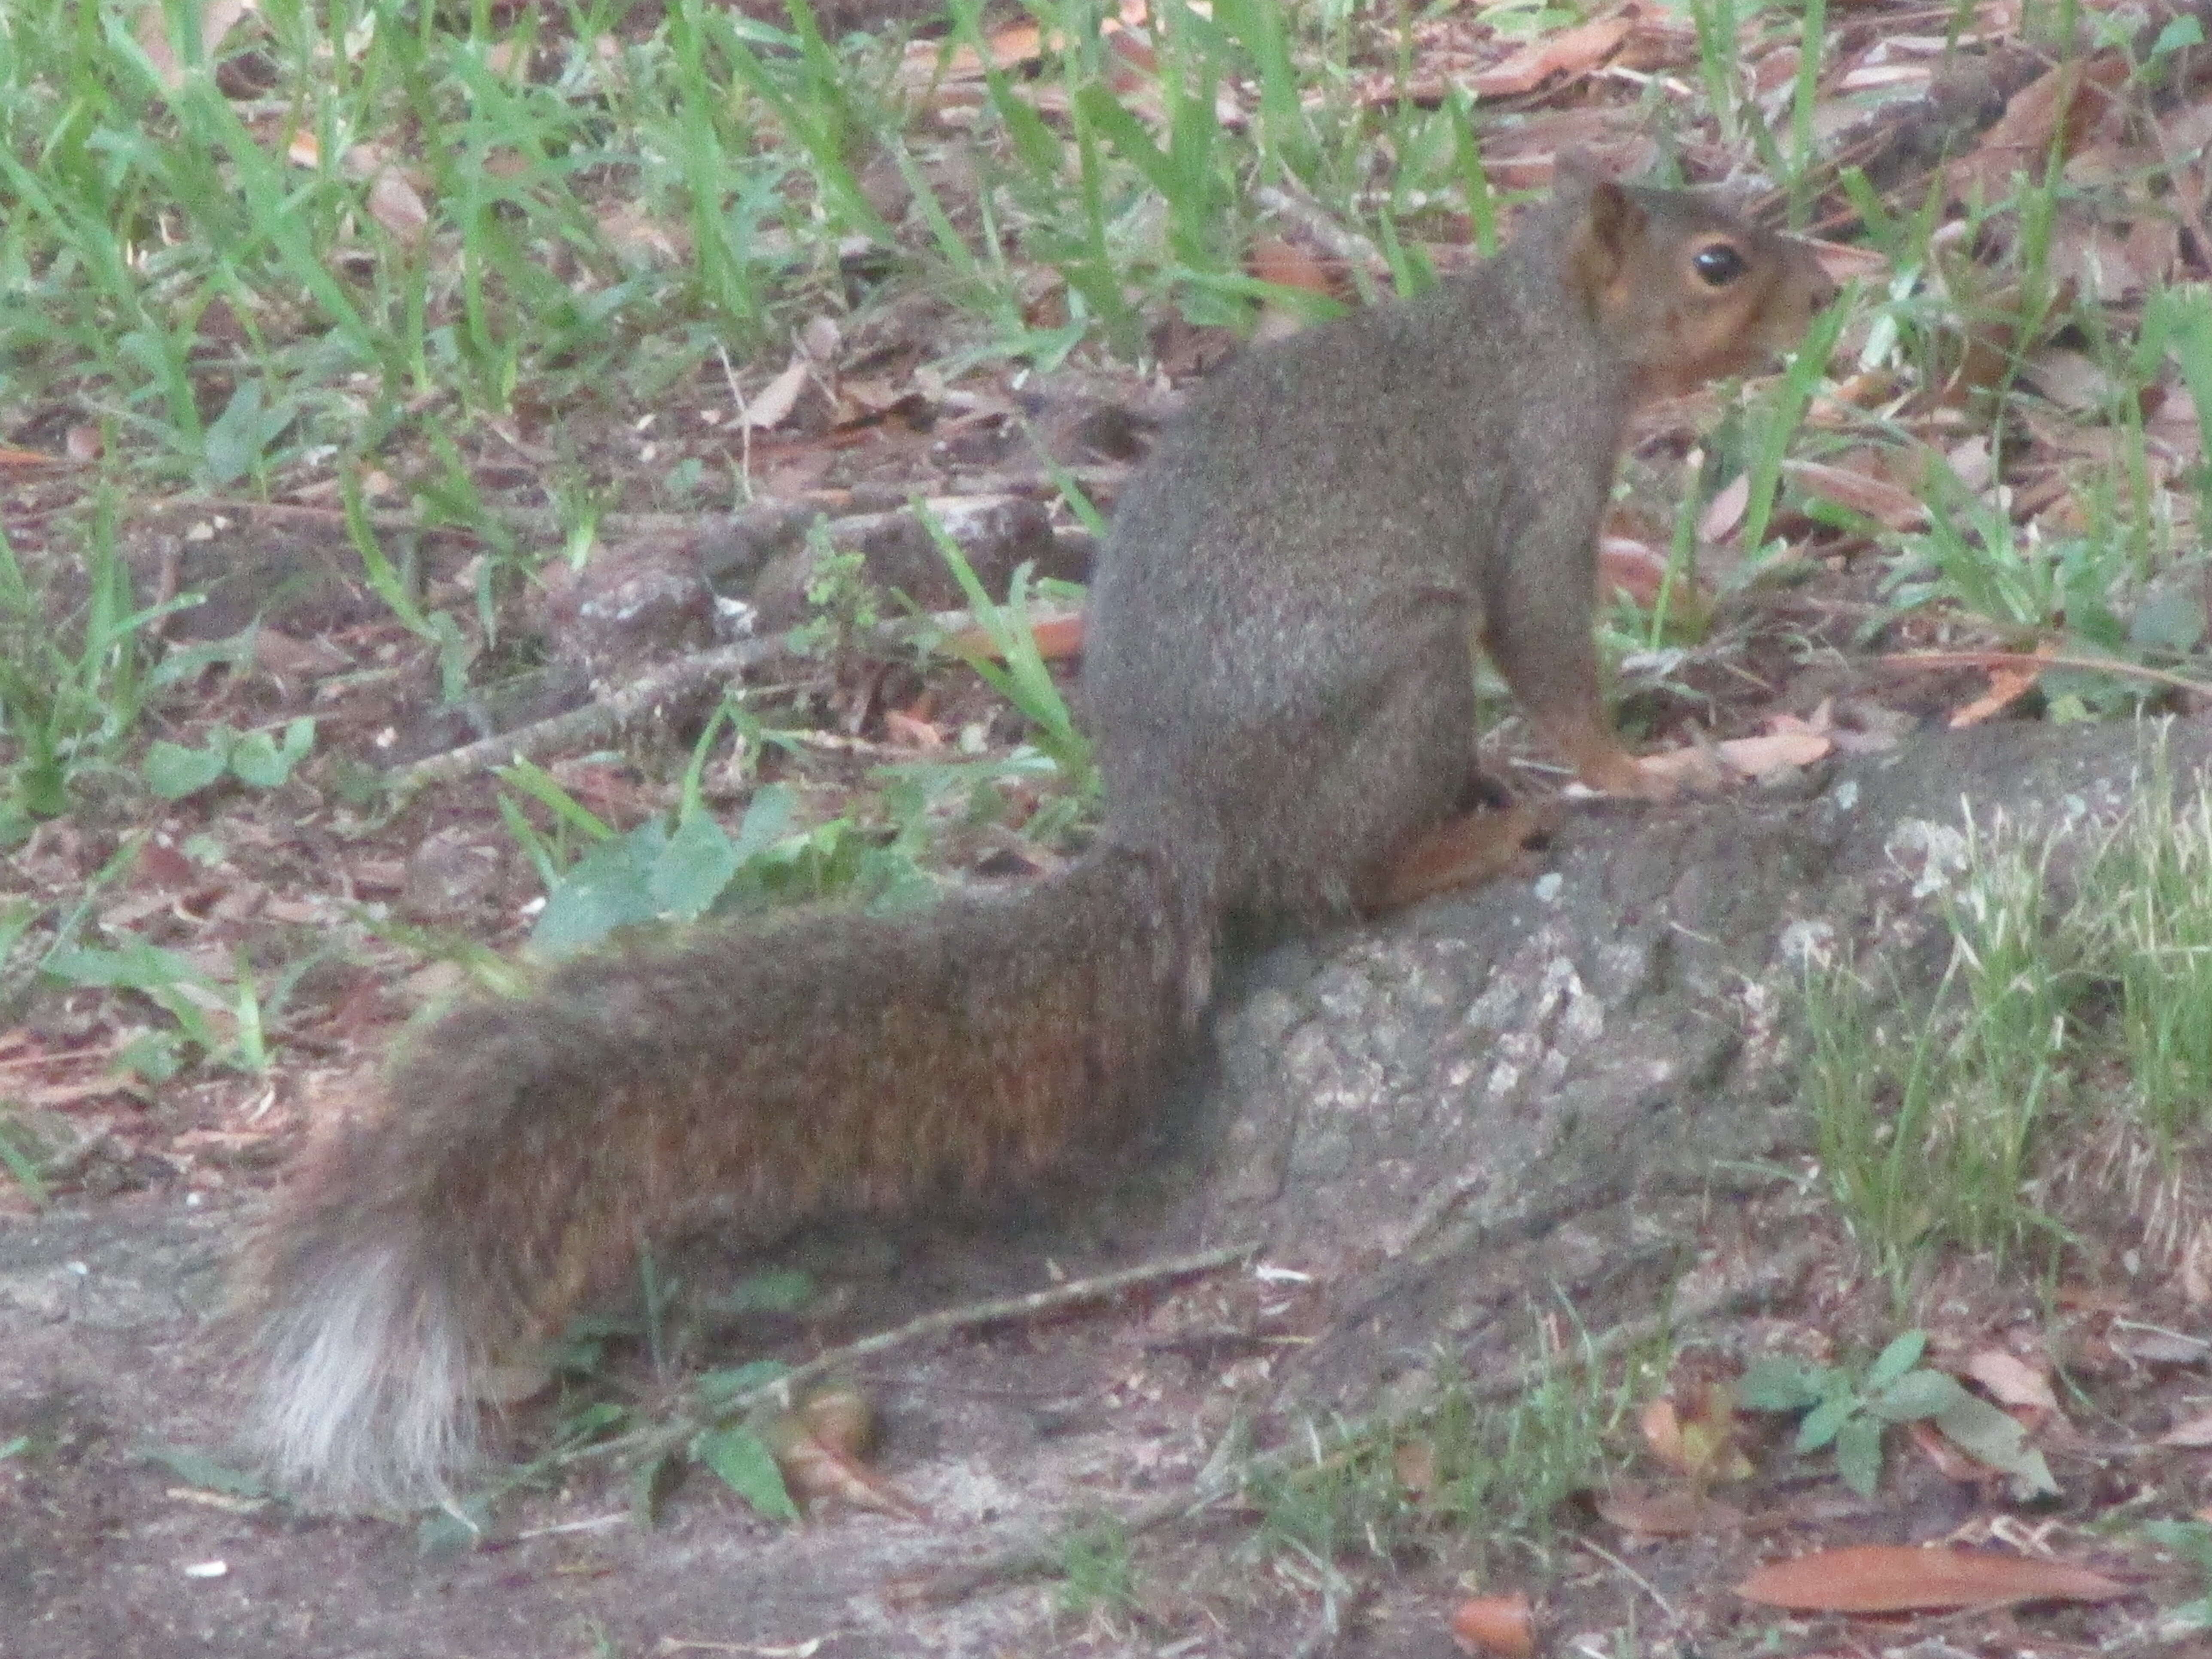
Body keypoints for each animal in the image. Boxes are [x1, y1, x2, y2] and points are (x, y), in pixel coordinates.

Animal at [242, 159, 1831, 1522]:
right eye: (1717, 261)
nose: (1824, 284)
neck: (1534, 332)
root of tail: (1180, 844)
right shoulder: (1536, 489)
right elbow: (1553, 654)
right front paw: (1651, 768)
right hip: (1401, 680)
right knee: (1337, 883)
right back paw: (1466, 842)